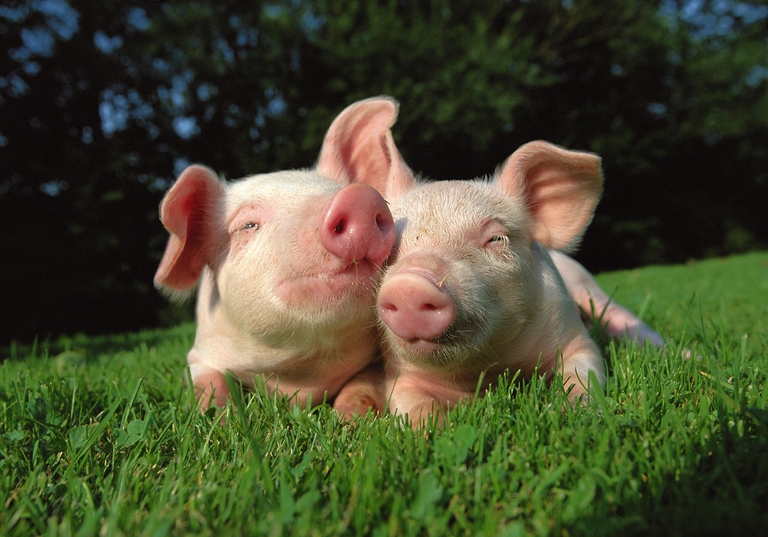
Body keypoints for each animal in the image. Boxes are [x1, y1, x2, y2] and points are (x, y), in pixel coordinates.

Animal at [154, 97, 412, 409]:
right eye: (247, 225)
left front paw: (351, 416)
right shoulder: (199, 354)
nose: (359, 197)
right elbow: (208, 382)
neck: (298, 378)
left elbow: (360, 385)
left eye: (343, 190)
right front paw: (216, 414)